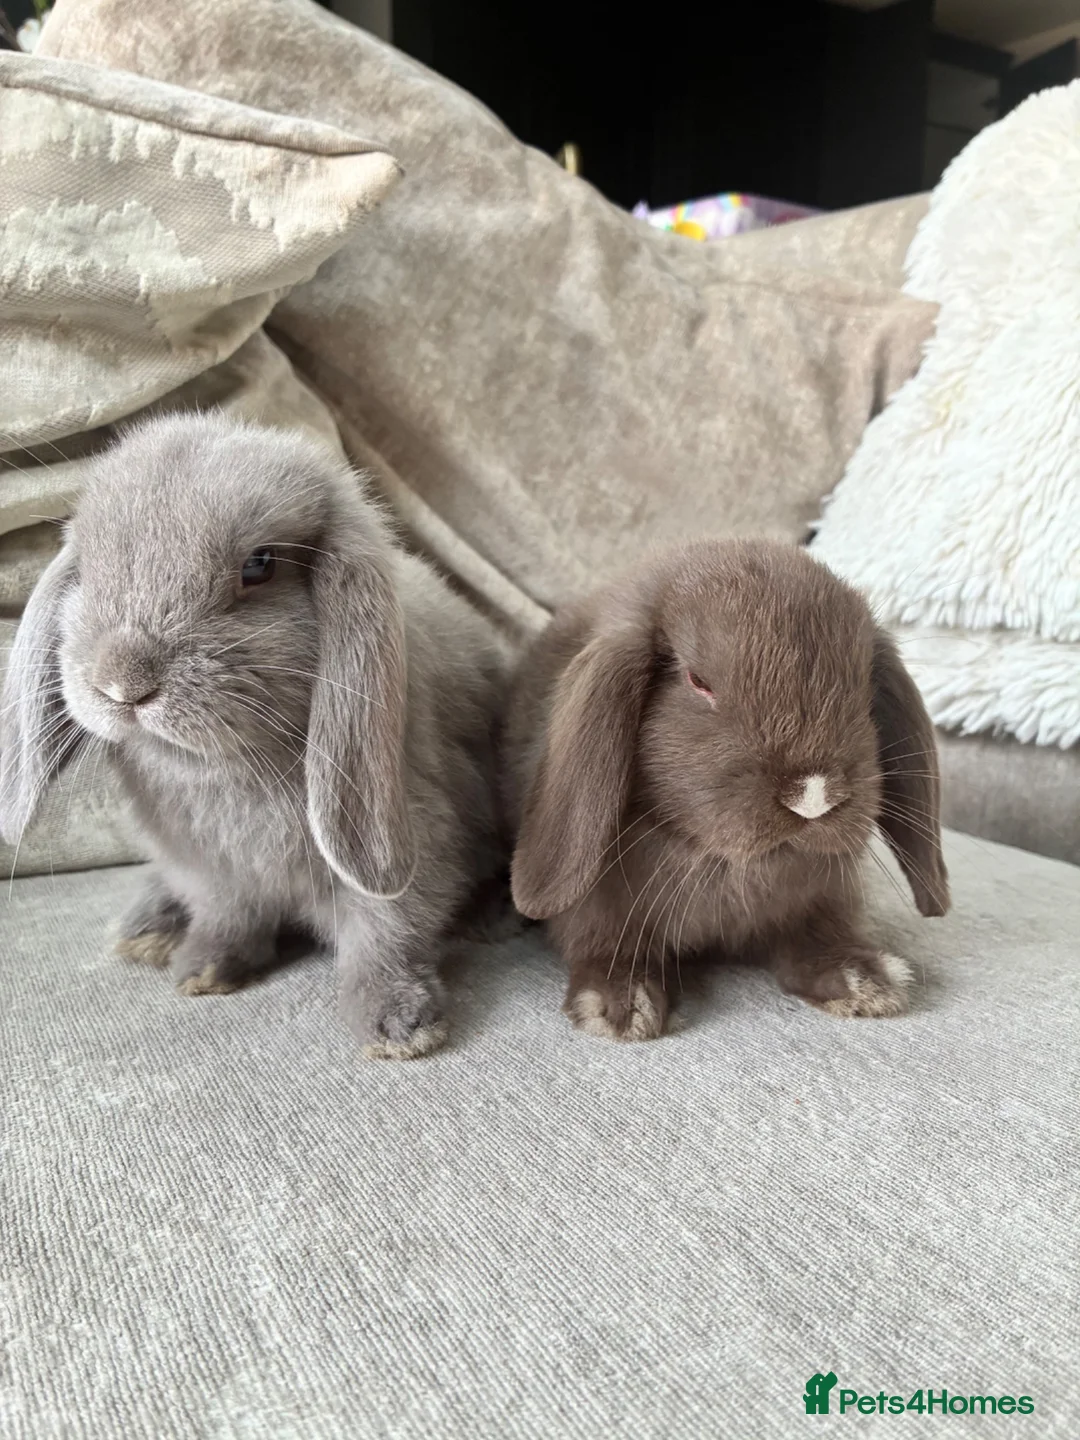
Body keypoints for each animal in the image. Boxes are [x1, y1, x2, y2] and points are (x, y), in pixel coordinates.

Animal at [0, 412, 509, 1059]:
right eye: (87, 568)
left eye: (259, 565)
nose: (122, 682)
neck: (224, 766)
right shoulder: (207, 868)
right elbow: (227, 916)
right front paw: (203, 969)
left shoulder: (412, 837)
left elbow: (386, 931)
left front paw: (397, 1026)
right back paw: (147, 927)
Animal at [502, 539, 950, 1041]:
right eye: (699, 682)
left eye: (862, 683)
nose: (813, 796)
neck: (728, 862)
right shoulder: (596, 907)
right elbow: (605, 944)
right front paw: (621, 1008)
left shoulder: (823, 897)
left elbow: (815, 938)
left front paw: (864, 981)